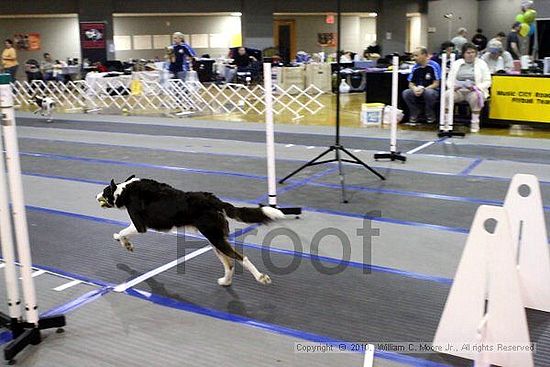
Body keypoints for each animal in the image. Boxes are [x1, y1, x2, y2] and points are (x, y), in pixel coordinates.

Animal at [97, 176, 284, 288]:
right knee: (229, 263)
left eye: (105, 191)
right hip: (215, 239)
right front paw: (124, 242)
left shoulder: (139, 226)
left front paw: (125, 243)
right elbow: (123, 232)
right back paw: (225, 281)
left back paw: (260, 277)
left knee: (240, 258)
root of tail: (214, 200)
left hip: (215, 238)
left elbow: (123, 232)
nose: (95, 196)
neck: (124, 190)